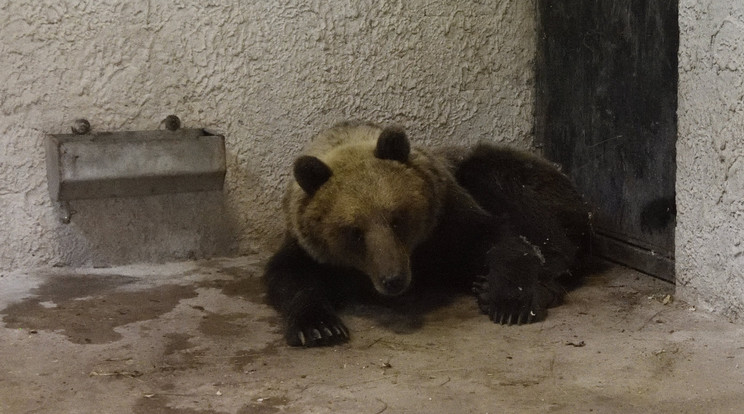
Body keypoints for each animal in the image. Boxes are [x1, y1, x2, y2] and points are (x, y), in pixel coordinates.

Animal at [264, 120, 588, 346]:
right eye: (354, 231)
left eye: (397, 219)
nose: (393, 279)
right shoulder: (307, 248)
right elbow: (289, 277)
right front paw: (319, 328)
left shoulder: (448, 220)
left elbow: (499, 238)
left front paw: (507, 301)